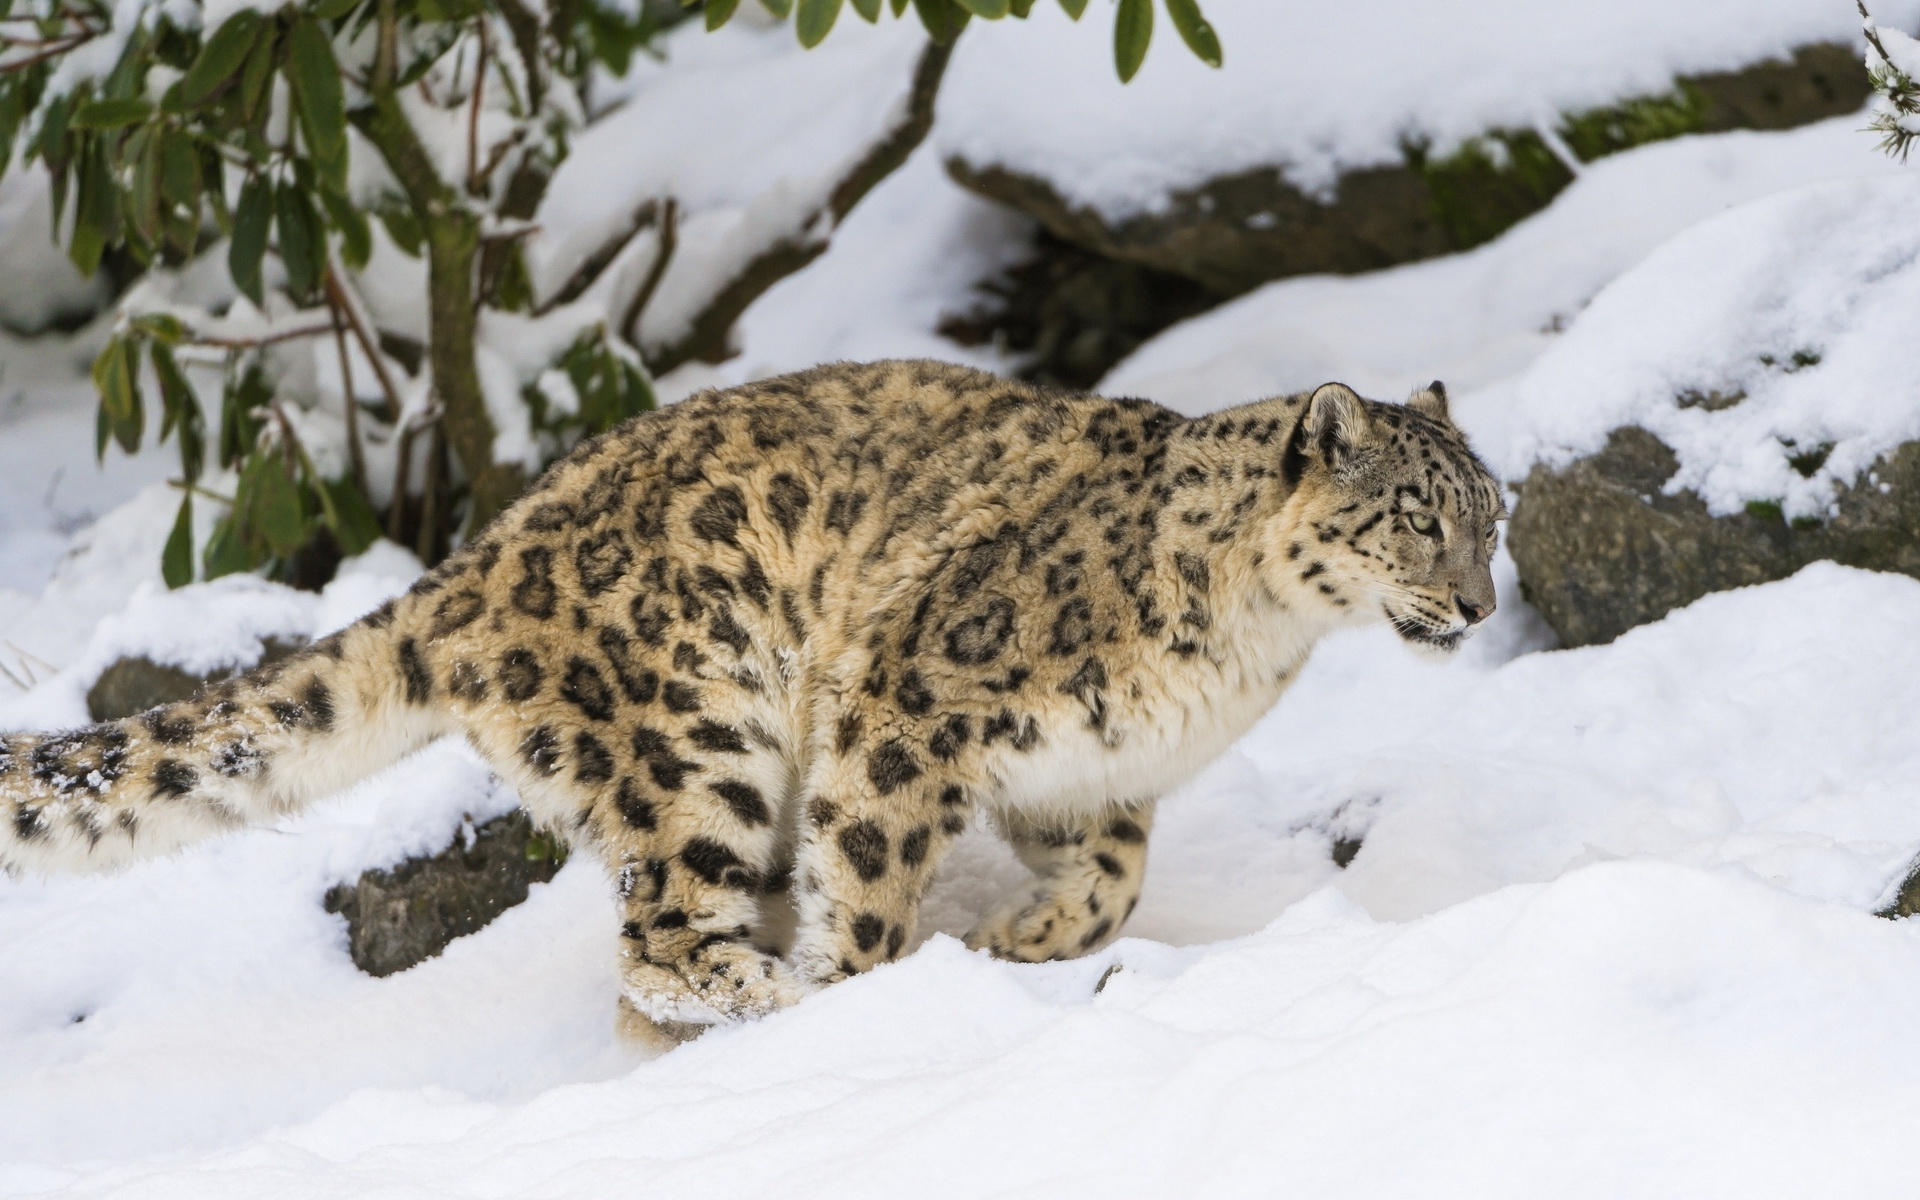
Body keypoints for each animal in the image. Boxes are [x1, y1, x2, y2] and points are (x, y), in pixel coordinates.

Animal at [0, 357, 1497, 1036]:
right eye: (1417, 516)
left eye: (1493, 515)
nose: (1483, 605)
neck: (1252, 649)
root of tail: (483, 555)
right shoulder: (911, 697)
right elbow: (876, 876)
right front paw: (884, 995)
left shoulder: (1089, 766)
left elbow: (1119, 875)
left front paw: (1031, 938)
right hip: (699, 735)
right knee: (658, 941)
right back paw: (778, 996)